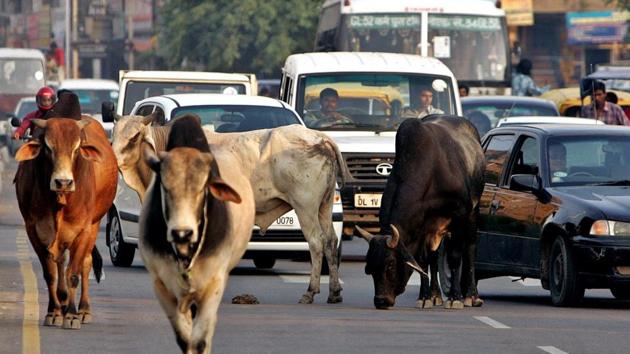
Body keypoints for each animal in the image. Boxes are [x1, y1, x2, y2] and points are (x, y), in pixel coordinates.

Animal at [13, 116, 117, 330]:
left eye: (76, 148)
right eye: (48, 147)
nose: (63, 182)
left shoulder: (83, 230)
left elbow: (73, 274)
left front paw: (71, 315)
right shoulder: (34, 230)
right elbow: (50, 273)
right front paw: (54, 312)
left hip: (94, 225)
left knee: (86, 263)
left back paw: (83, 310)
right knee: (60, 262)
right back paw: (61, 302)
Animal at [358, 116, 486, 310]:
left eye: (391, 265)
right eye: (369, 268)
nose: (381, 301)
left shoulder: (459, 216)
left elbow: (455, 257)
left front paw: (455, 298)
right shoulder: (422, 227)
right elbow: (423, 261)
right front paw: (425, 297)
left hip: (473, 213)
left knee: (470, 249)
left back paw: (471, 296)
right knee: (433, 257)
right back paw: (435, 295)